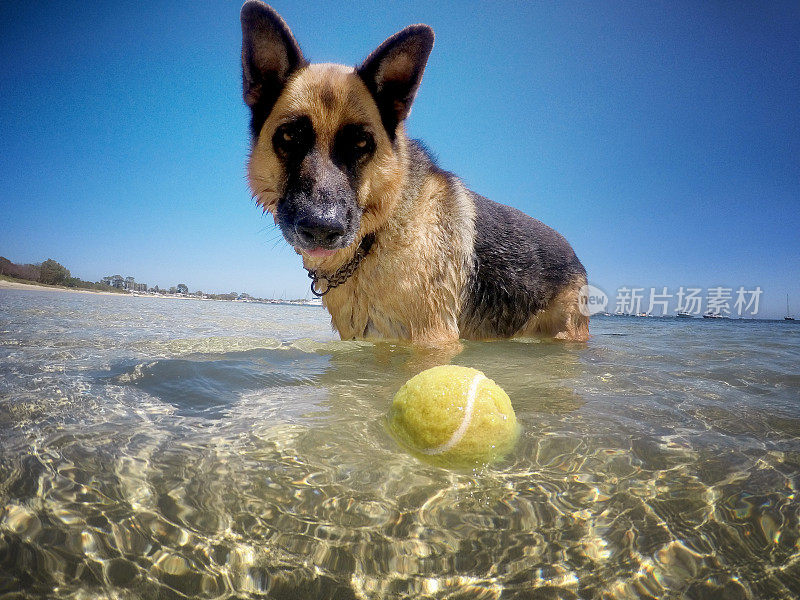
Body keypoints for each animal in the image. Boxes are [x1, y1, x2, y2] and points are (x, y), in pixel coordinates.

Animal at [238, 1, 588, 346]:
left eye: (361, 143)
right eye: (290, 137)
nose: (322, 228)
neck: (378, 233)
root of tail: (573, 253)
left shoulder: (433, 339)